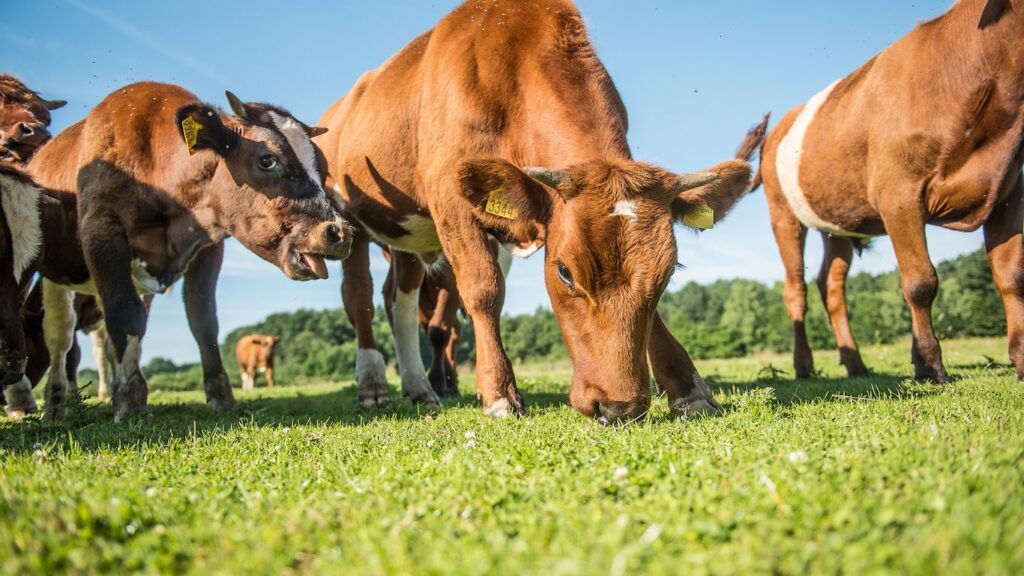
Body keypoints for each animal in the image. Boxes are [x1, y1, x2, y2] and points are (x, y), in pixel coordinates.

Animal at [27, 82, 353, 421]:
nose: (339, 232)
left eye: (323, 167)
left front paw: (221, 397)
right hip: (56, 277)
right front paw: (129, 401)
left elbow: (203, 319)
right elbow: (125, 314)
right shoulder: (101, 233)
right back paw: (54, 404)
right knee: (60, 337)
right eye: (267, 159)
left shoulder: (207, 249)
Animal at [317, 0, 761, 424]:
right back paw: (372, 384)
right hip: (347, 222)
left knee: (400, 302)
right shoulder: (450, 198)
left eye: (669, 271)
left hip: (407, 238)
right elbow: (483, 290)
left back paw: (418, 387)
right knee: (360, 298)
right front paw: (499, 393)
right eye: (564, 272)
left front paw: (689, 389)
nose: (617, 406)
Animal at [758, 0, 1024, 382]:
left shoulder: (1007, 191)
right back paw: (804, 366)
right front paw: (930, 366)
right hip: (783, 214)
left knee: (830, 285)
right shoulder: (898, 194)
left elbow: (1010, 274)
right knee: (796, 289)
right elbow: (920, 282)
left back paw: (855, 363)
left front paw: (1020, 359)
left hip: (838, 221)